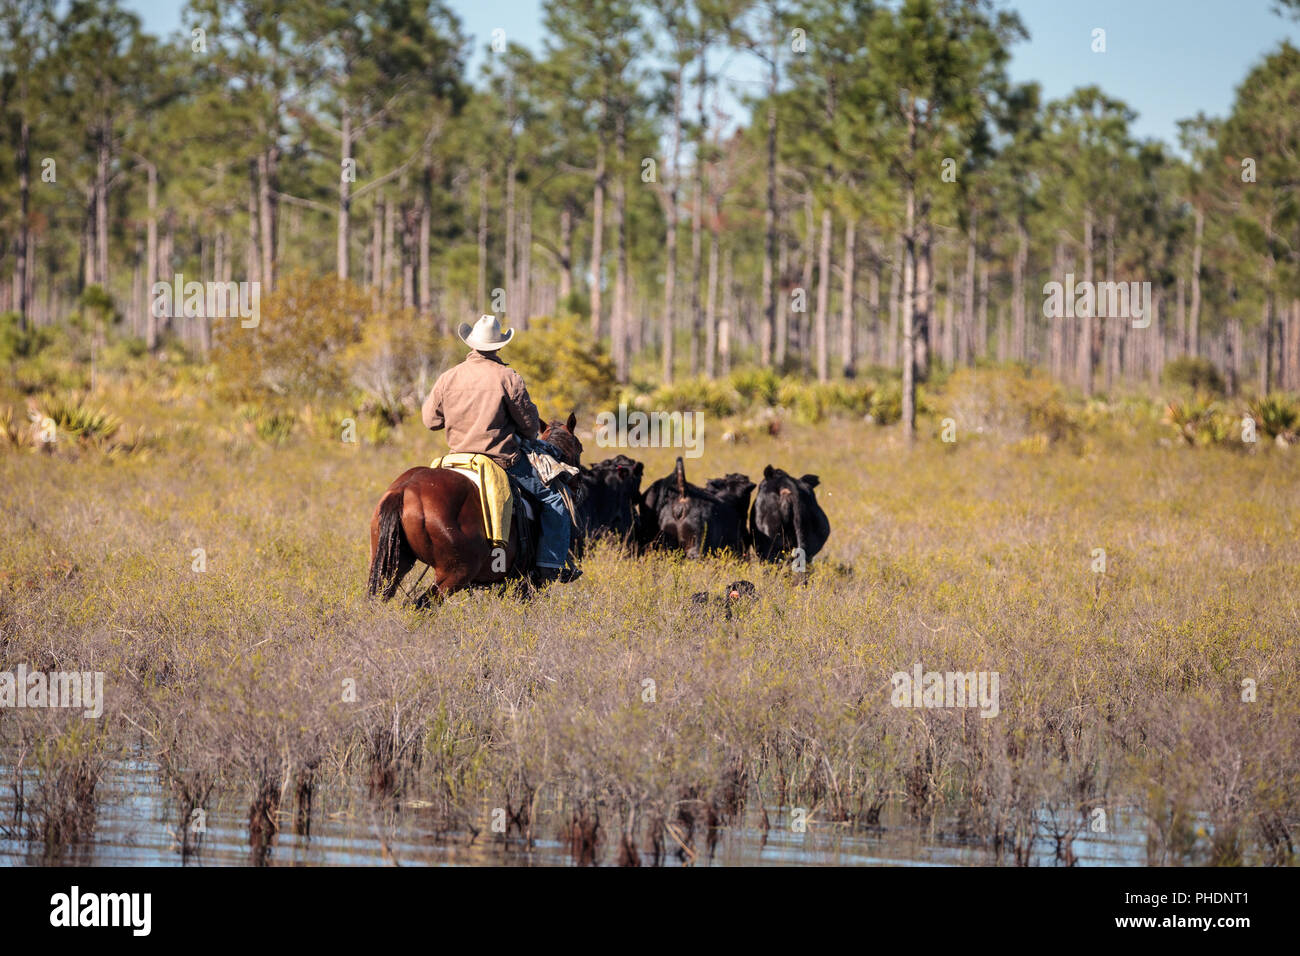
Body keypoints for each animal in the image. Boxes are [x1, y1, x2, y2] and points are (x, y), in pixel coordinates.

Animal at [369, 413, 587, 606]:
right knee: (422, 604)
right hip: (454, 574)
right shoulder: (529, 581)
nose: (579, 490)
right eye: (580, 448)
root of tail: (404, 490)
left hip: (393, 564)